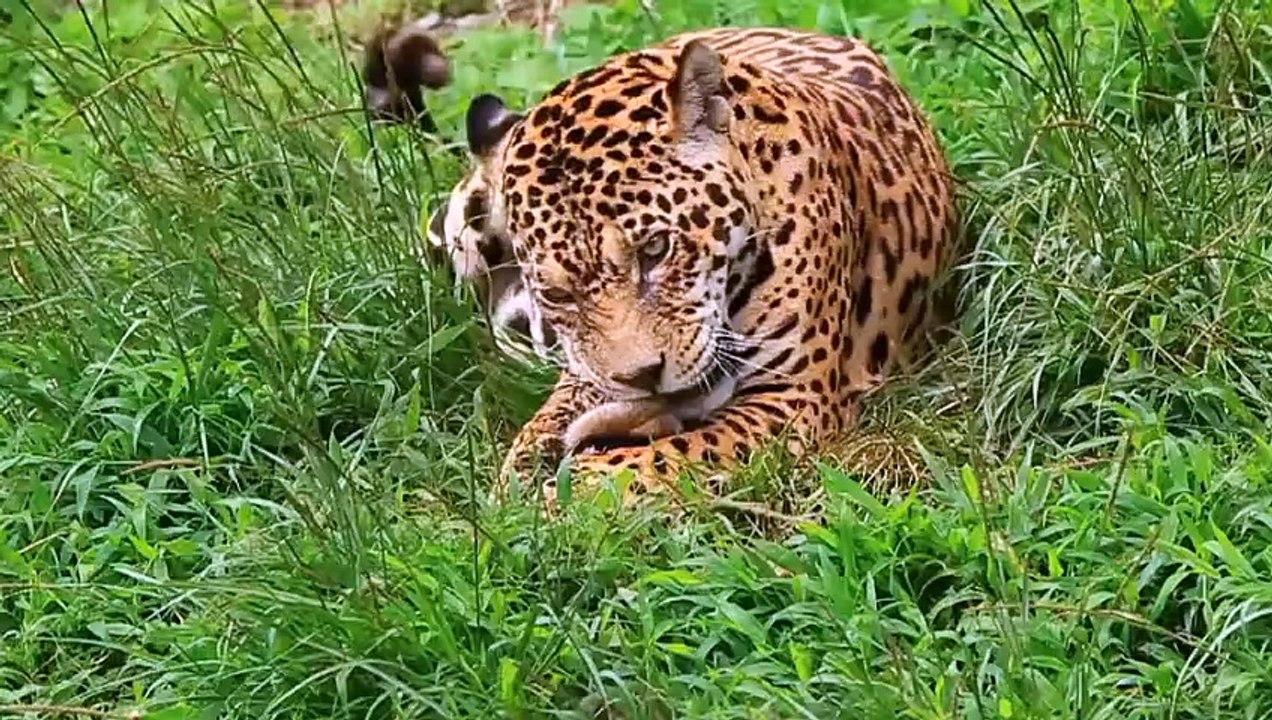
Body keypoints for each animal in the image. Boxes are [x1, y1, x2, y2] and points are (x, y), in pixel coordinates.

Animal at [430, 26, 960, 507]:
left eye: (655, 248)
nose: (643, 377)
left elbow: (667, 454)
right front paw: (516, 481)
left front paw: (568, 494)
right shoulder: (588, 371)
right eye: (559, 294)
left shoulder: (792, 399)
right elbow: (544, 421)